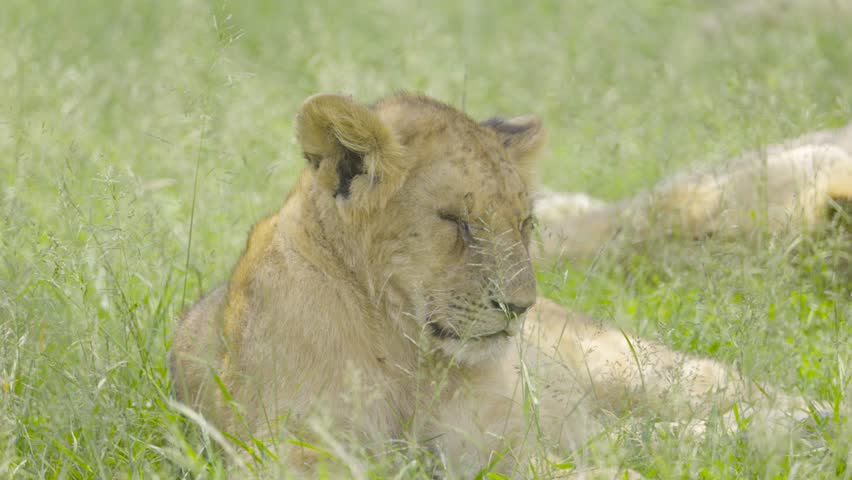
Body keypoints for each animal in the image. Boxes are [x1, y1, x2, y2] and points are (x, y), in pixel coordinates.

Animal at [170, 93, 817, 478]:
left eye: (524, 223)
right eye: (458, 223)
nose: (519, 307)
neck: (403, 350)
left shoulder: (503, 444)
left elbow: (579, 469)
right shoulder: (288, 446)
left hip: (629, 365)